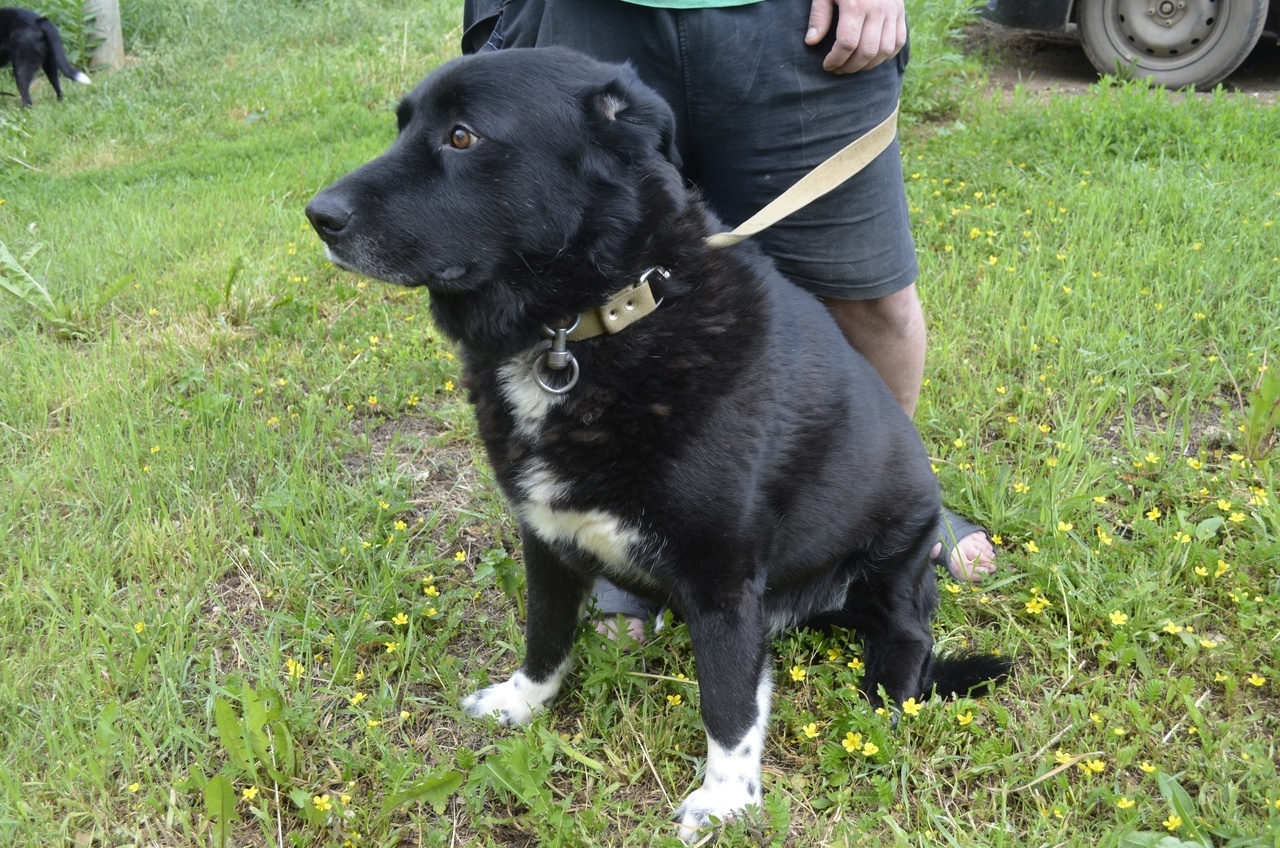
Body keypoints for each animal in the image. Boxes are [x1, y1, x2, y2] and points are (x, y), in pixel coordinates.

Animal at [304, 48, 1003, 845]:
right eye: (403, 125)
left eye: (461, 136)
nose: (318, 216)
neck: (581, 332)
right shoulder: (546, 539)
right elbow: (545, 636)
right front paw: (522, 702)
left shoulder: (723, 578)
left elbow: (728, 702)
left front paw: (726, 799)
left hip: (894, 556)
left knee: (908, 633)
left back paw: (886, 691)